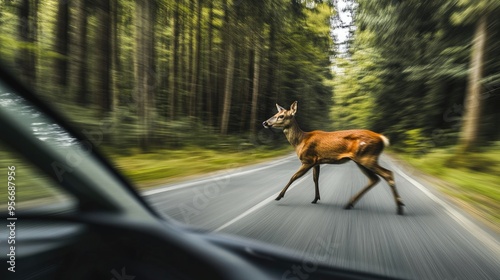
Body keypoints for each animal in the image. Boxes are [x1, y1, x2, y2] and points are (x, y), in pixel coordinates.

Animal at [264, 100, 404, 214]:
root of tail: (382, 139)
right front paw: (316, 198)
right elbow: (315, 178)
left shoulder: (307, 159)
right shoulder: (316, 161)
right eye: (275, 114)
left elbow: (294, 177)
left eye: (281, 116)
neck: (300, 141)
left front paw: (279, 196)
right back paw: (350, 203)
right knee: (374, 179)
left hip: (367, 157)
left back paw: (399, 207)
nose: (265, 122)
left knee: (387, 174)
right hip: (362, 159)